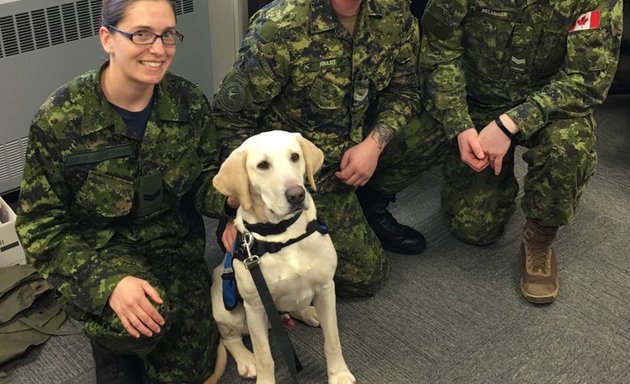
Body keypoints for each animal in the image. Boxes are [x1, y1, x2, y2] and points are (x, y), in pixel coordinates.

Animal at [206, 130, 356, 382]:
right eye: (262, 165)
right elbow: (265, 357)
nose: (296, 195)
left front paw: (339, 374)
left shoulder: (326, 287)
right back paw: (246, 359)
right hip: (229, 313)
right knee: (230, 339)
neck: (283, 235)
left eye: (295, 156)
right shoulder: (256, 307)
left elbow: (332, 340)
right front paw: (264, 376)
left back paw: (309, 311)